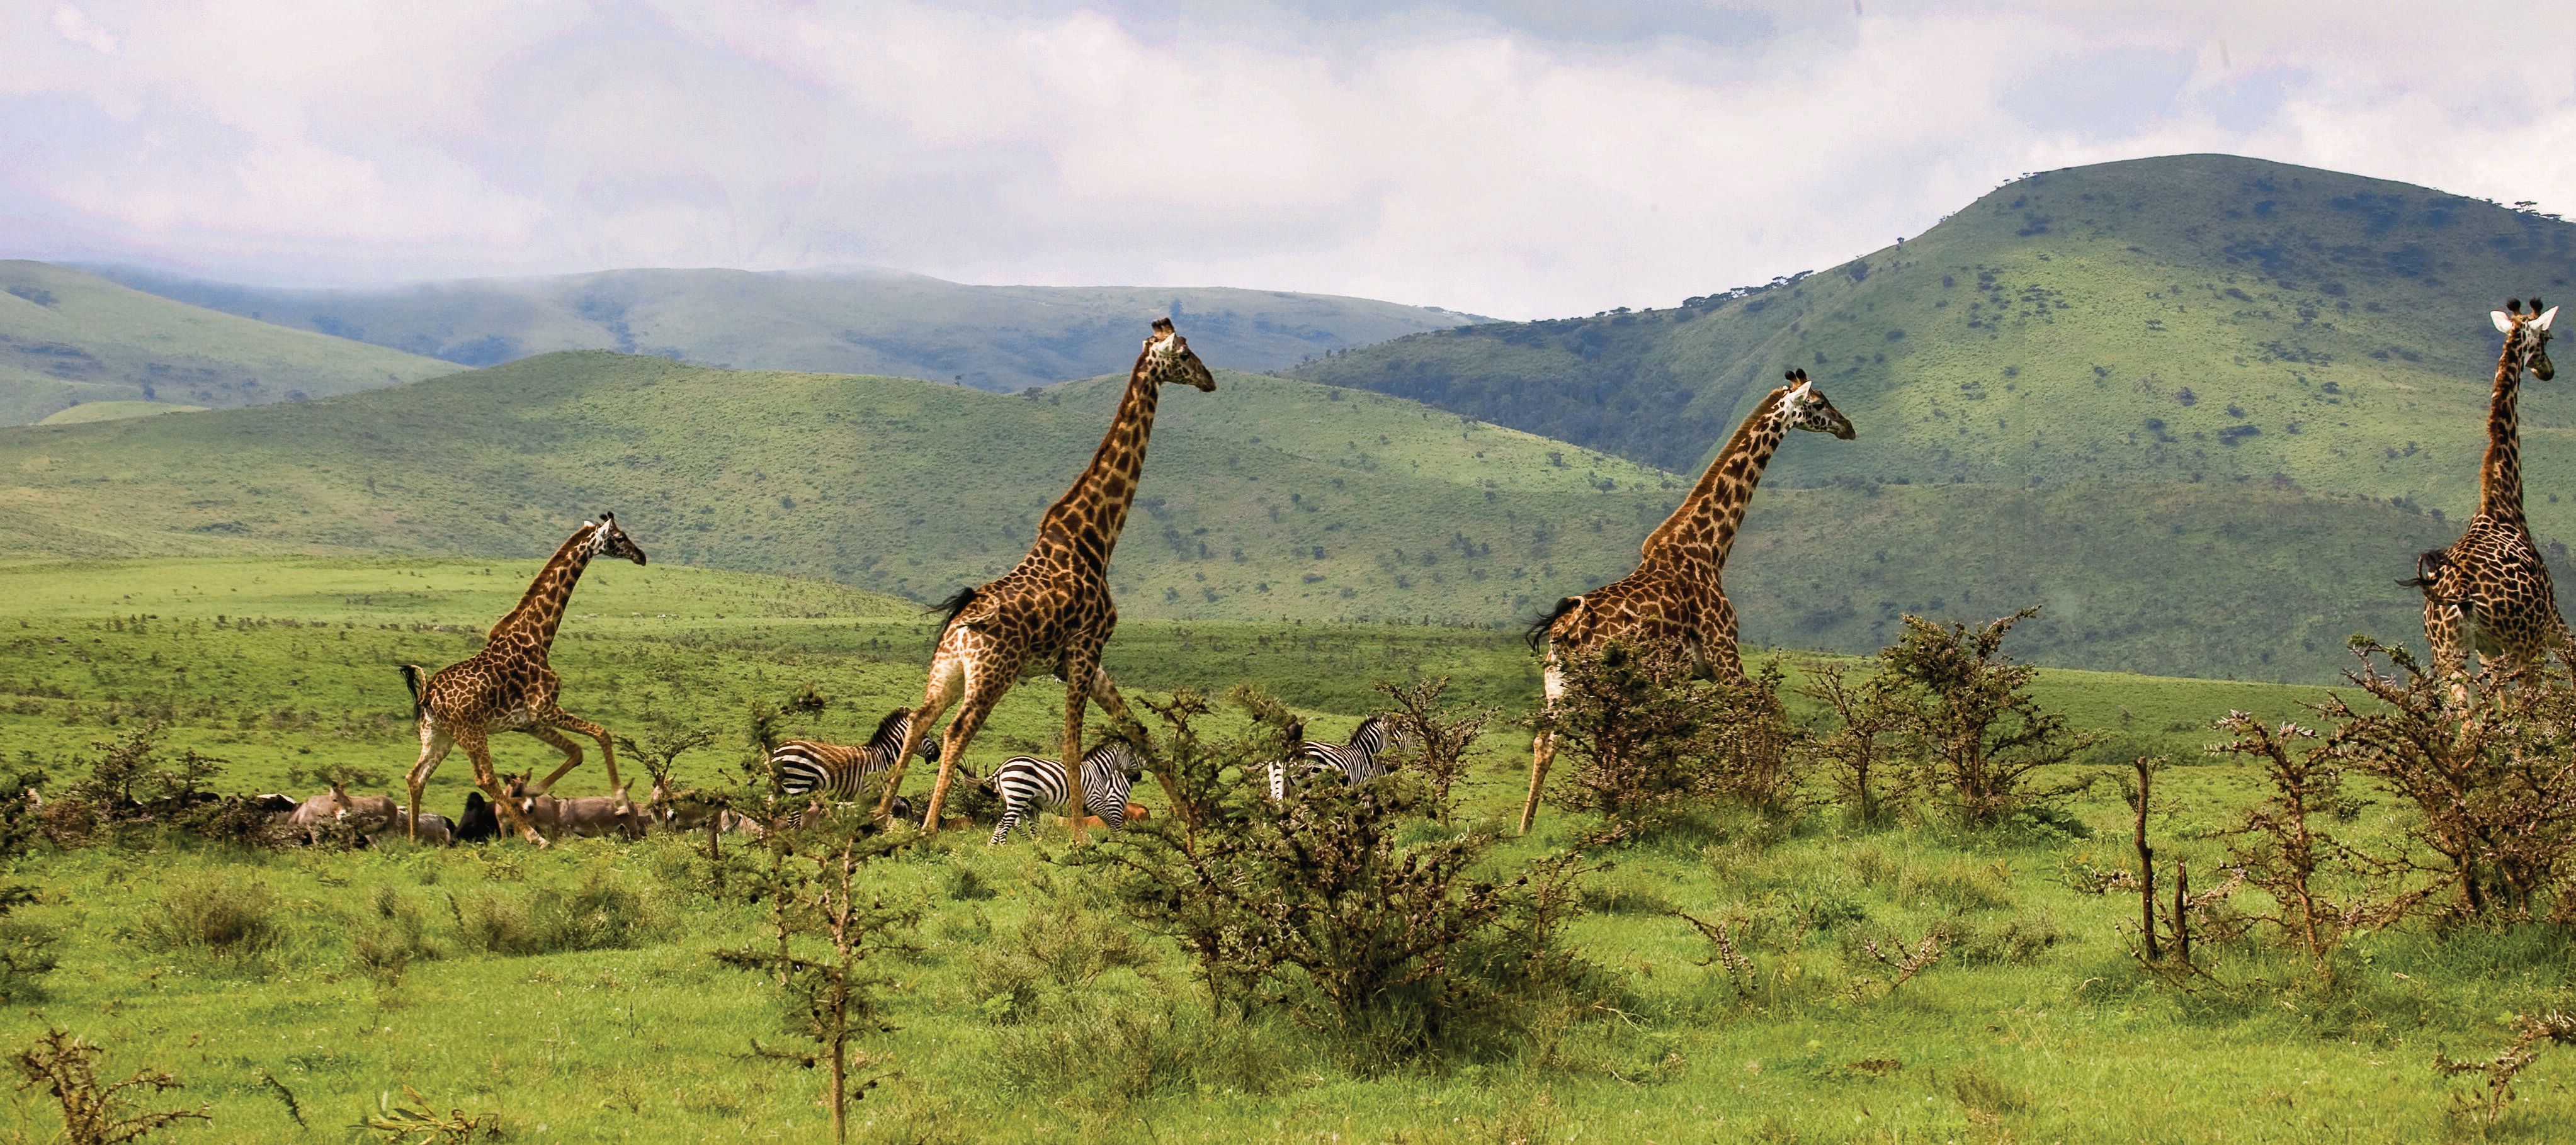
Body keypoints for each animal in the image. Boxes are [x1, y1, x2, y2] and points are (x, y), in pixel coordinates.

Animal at [398, 515, 647, 844]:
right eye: (619, 537)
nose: (641, 556)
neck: (538, 639)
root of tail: (427, 694)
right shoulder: (546, 710)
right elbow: (601, 734)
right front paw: (619, 802)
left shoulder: (529, 722)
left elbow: (577, 751)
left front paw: (531, 791)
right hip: (471, 732)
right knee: (484, 778)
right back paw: (534, 837)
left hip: (437, 735)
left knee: (416, 776)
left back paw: (414, 840)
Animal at [871, 318, 1216, 832]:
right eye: (1186, 356)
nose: (1210, 381)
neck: (1094, 538)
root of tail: (961, 625)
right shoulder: (1086, 647)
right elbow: (1072, 744)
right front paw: (1078, 830)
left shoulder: (1080, 659)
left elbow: (1136, 728)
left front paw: (1190, 817)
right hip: (994, 673)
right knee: (955, 731)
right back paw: (929, 824)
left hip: (948, 670)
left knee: (918, 720)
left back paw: (877, 814)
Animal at [986, 740, 1147, 845]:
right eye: (1133, 756)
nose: (1138, 777)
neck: (1099, 771)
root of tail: (1002, 767)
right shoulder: (1109, 803)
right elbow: (1115, 825)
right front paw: (1120, 845)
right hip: (1018, 797)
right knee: (1006, 824)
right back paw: (1004, 848)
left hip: (1017, 800)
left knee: (1009, 823)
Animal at [1518, 370, 1854, 833]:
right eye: (1819, 404)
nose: (1848, 428)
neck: (1709, 549)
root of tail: (1561, 633)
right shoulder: (1723, 654)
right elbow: (1767, 710)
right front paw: (1758, 794)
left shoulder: (1701, 672)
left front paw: (1748, 790)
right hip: (1603, 688)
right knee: (1603, 742)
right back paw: (1613, 815)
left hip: (1559, 688)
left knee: (1545, 741)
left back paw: (1527, 828)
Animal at [2413, 297, 2568, 688]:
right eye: (2548, 337)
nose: (2547, 371)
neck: (2503, 500)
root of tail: (2462, 596)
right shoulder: (2553, 620)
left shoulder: (2489, 651)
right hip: (2527, 643)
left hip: (2449, 652)